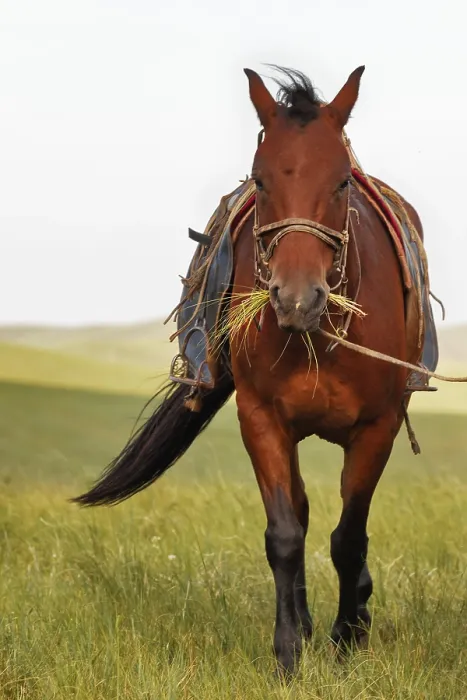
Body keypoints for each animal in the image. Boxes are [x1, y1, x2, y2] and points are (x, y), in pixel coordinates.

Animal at [74, 65, 436, 676]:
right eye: (262, 181)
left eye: (342, 182)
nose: (296, 298)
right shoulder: (262, 419)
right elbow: (286, 534)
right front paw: (290, 650)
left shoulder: (377, 427)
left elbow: (350, 538)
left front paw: (347, 638)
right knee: (303, 512)